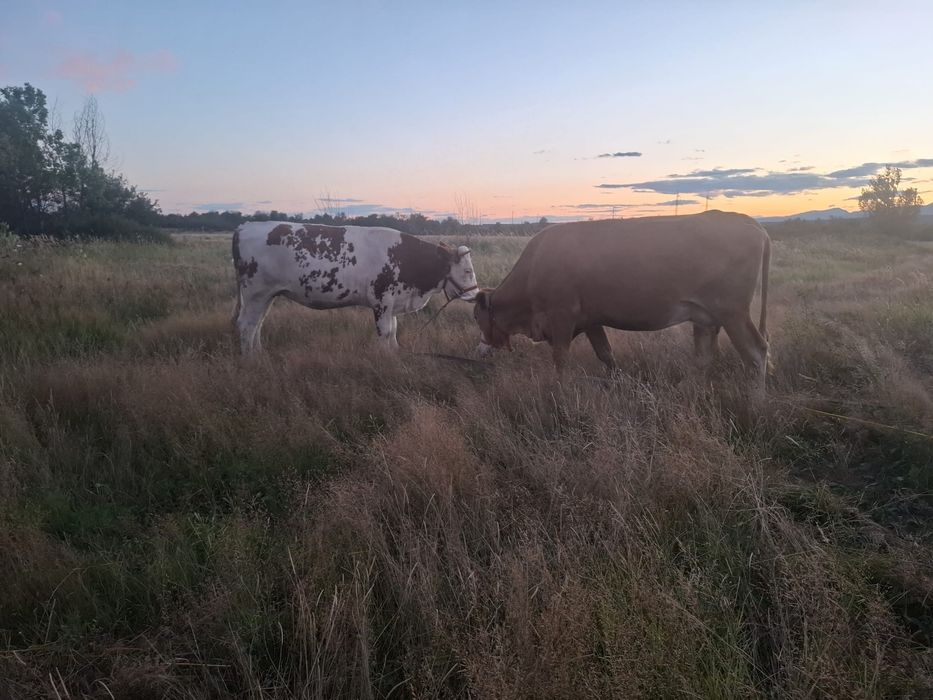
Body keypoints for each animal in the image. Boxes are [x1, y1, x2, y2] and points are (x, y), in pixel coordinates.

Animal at [232, 221, 479, 353]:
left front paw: (395, 353)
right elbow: (385, 332)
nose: (476, 294)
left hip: (267, 296)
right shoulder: (381, 301)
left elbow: (393, 331)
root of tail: (246, 227)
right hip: (256, 294)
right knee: (246, 326)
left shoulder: (392, 304)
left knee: (257, 324)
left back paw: (259, 354)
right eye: (468, 271)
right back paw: (252, 360)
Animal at [473, 211, 771, 392]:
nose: (479, 349)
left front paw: (561, 389)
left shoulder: (562, 316)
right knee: (705, 356)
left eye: (476, 317)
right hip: (706, 317)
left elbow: (561, 358)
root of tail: (747, 221)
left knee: (757, 353)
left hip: (733, 312)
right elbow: (606, 353)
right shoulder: (590, 319)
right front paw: (619, 381)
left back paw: (756, 401)